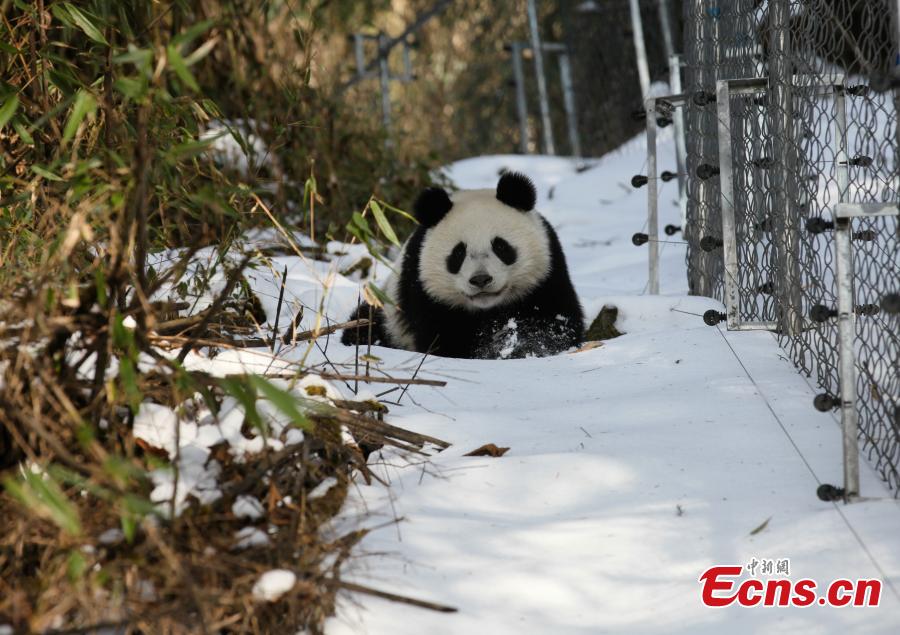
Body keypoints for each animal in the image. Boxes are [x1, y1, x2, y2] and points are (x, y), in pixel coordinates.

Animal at [341, 172, 584, 359]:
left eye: (501, 246)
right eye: (458, 253)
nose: (481, 279)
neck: (487, 310)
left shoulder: (546, 276)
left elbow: (552, 325)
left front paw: (516, 349)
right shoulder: (424, 291)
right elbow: (443, 340)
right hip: (387, 313)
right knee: (364, 325)